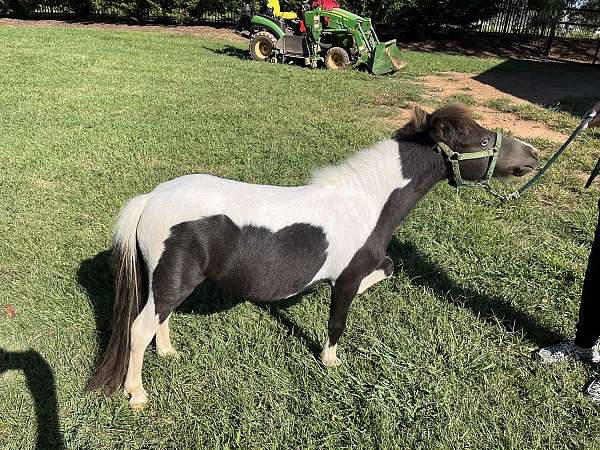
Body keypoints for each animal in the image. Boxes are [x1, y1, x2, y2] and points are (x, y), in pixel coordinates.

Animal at [86, 104, 540, 408]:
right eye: (481, 140)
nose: (533, 155)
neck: (366, 201)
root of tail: (150, 199)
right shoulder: (349, 276)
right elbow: (338, 320)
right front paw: (330, 362)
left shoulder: (369, 267)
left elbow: (388, 268)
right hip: (172, 280)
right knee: (139, 328)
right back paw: (137, 395)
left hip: (170, 281)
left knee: (159, 319)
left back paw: (168, 353)